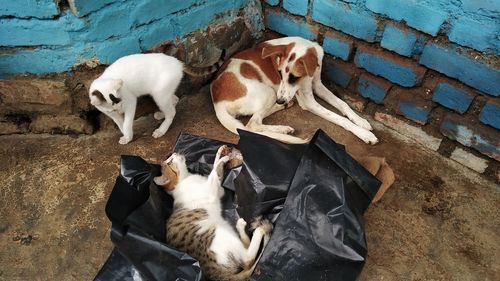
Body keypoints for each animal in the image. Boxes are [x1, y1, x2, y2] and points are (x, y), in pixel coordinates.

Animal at [209, 35, 376, 143]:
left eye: (294, 77)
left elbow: (343, 104)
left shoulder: (317, 84)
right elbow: (339, 118)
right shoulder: (307, 101)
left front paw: (361, 121)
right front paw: (364, 134)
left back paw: (282, 109)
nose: (280, 100)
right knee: (252, 124)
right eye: (279, 73)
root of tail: (217, 101)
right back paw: (281, 125)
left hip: (270, 95)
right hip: (269, 93)